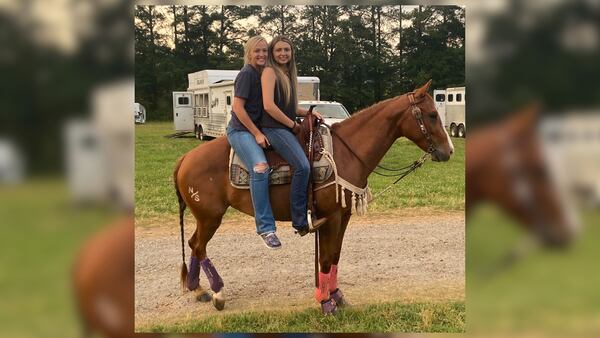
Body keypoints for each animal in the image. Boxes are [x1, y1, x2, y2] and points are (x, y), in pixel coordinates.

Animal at [173, 80, 454, 312]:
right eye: (431, 115)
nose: (449, 151)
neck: (346, 151)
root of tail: (184, 158)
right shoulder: (330, 218)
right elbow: (326, 258)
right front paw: (325, 301)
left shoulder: (343, 215)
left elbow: (336, 255)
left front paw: (337, 295)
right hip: (210, 216)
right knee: (199, 246)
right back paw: (218, 293)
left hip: (205, 218)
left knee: (194, 244)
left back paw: (198, 289)